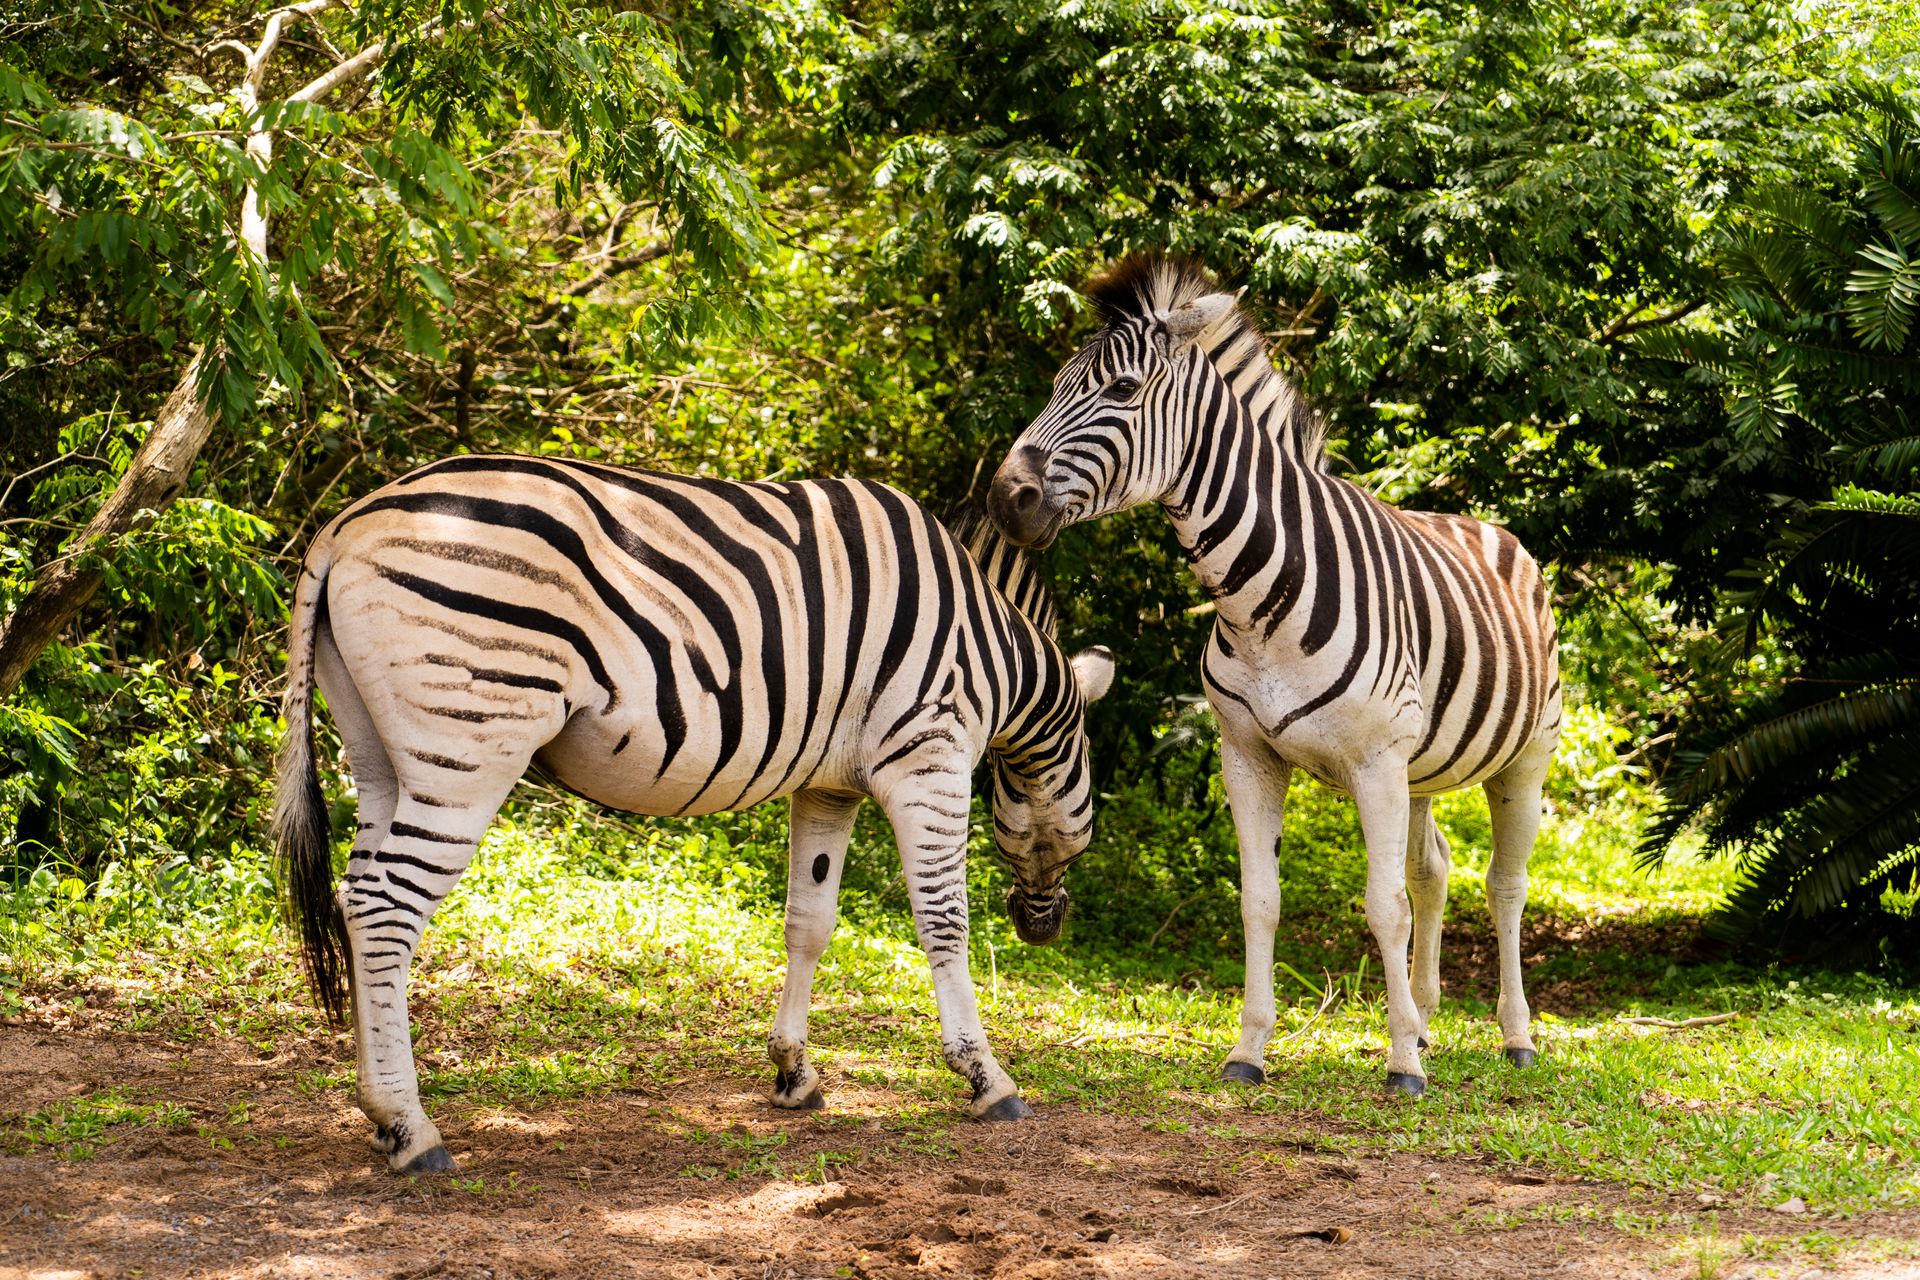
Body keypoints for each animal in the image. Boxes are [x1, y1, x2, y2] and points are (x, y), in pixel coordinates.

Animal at [274, 454, 1115, 1172]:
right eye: (1087, 777)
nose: (1043, 927)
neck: (994, 652)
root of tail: (345, 526)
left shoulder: (828, 783)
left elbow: (809, 922)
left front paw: (793, 1073)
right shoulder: (928, 756)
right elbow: (944, 922)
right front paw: (986, 1078)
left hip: (381, 754)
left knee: (352, 899)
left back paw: (378, 1117)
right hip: (470, 738)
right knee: (386, 909)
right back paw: (412, 1127)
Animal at [987, 255, 1562, 1096]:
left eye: (1121, 390)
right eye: (1057, 383)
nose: (1005, 498)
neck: (1256, 601)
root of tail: (1484, 526)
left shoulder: (1375, 760)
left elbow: (1382, 905)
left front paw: (1399, 1065)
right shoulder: (1248, 754)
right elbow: (1261, 900)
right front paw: (1250, 1049)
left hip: (1525, 757)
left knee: (1503, 885)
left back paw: (1514, 1038)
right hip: (1422, 769)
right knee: (1433, 871)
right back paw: (1427, 1022)